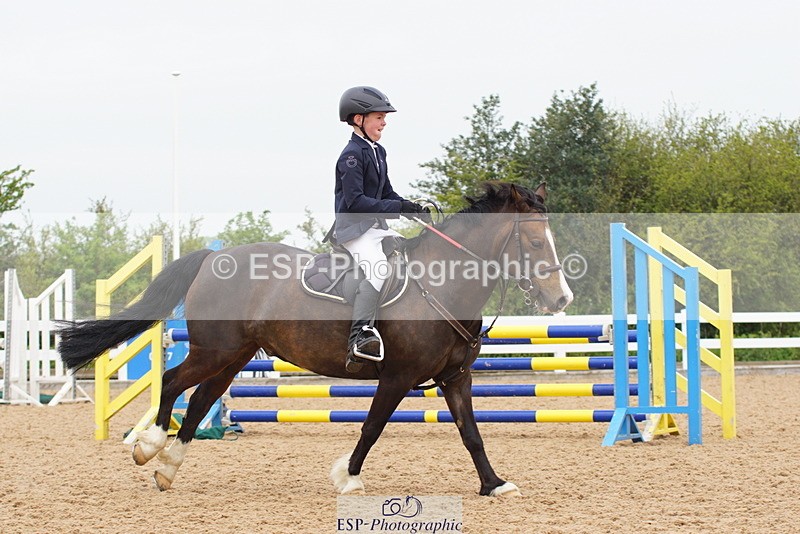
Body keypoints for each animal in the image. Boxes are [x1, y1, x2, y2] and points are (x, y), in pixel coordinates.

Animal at [58, 181, 573, 496]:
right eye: (532, 243)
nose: (561, 298)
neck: (443, 284)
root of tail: (211, 258)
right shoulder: (397, 376)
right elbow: (372, 427)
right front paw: (348, 478)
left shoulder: (455, 378)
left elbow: (471, 434)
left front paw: (494, 483)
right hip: (215, 350)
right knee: (171, 382)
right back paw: (148, 447)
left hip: (233, 356)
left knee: (201, 398)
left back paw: (168, 468)